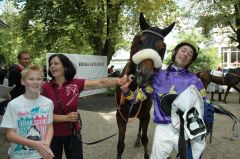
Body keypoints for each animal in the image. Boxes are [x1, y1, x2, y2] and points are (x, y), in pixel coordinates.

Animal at [114, 12, 174, 159]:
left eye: (162, 48)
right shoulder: (120, 116)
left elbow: (145, 138)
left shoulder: (146, 115)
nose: (145, 76)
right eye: (140, 41)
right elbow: (120, 145)